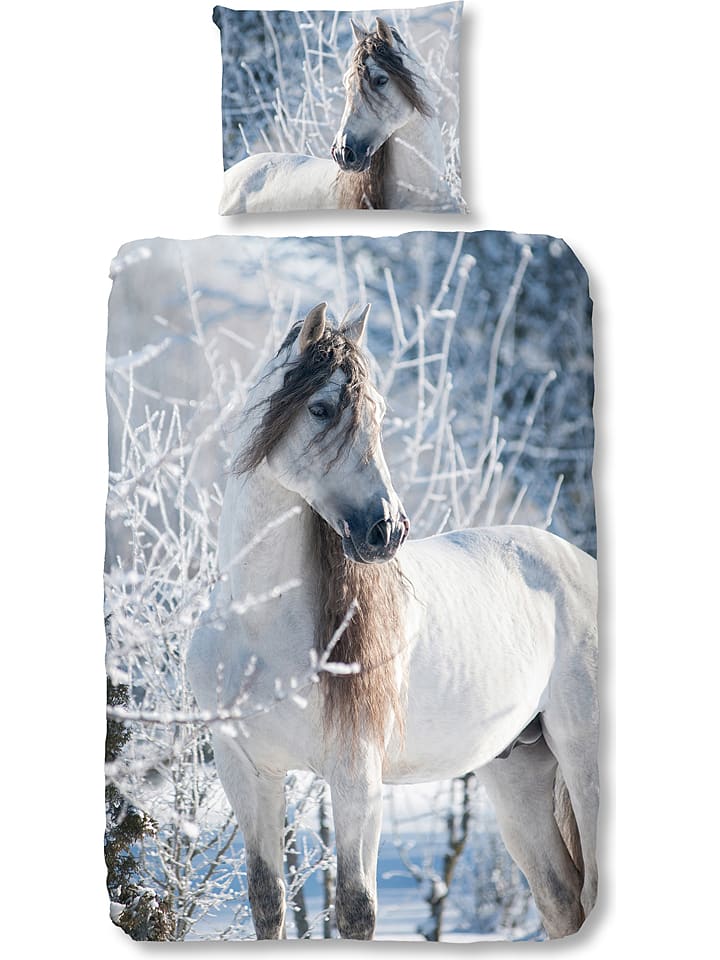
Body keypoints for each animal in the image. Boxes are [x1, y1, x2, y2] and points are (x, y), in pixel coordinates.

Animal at [186, 303, 599, 941]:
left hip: (584, 762)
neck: (257, 625)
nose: (387, 529)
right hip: (518, 773)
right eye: (321, 408)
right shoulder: (247, 773)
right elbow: (268, 900)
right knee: (561, 900)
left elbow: (356, 908)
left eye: (378, 412)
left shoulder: (356, 776)